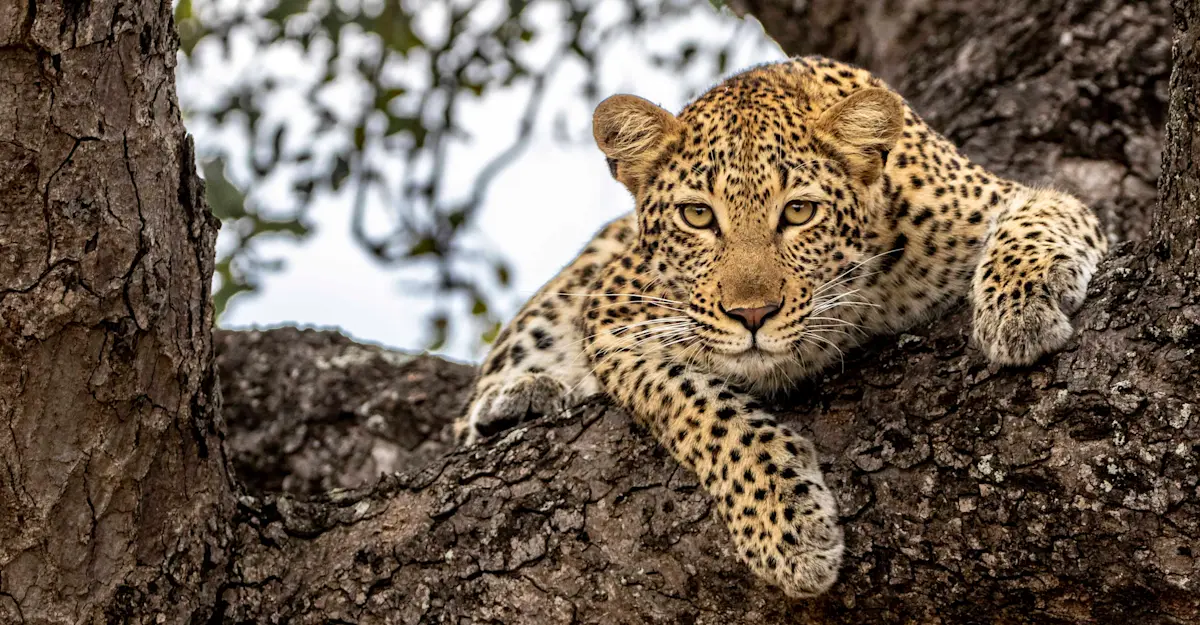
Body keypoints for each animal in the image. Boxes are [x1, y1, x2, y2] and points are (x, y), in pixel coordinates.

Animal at [455, 57, 1107, 598]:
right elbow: (700, 409)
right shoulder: (615, 318)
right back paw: (519, 398)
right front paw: (787, 531)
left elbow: (1035, 220)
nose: (751, 315)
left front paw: (1018, 312)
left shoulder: (1007, 199)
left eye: (798, 211)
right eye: (698, 216)